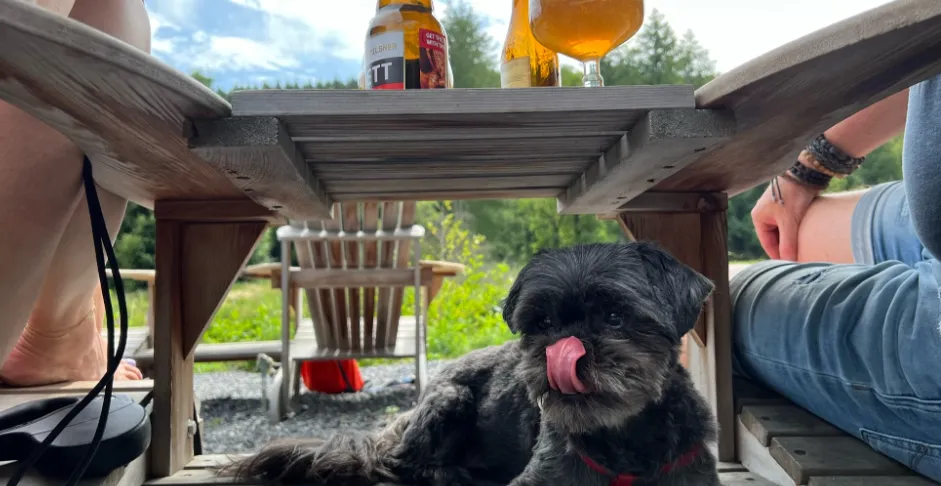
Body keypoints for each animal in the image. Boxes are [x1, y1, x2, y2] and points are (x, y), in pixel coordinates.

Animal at [222, 241, 720, 484]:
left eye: (616, 316)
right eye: (542, 322)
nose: (562, 349)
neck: (623, 443)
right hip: (449, 399)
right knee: (401, 465)